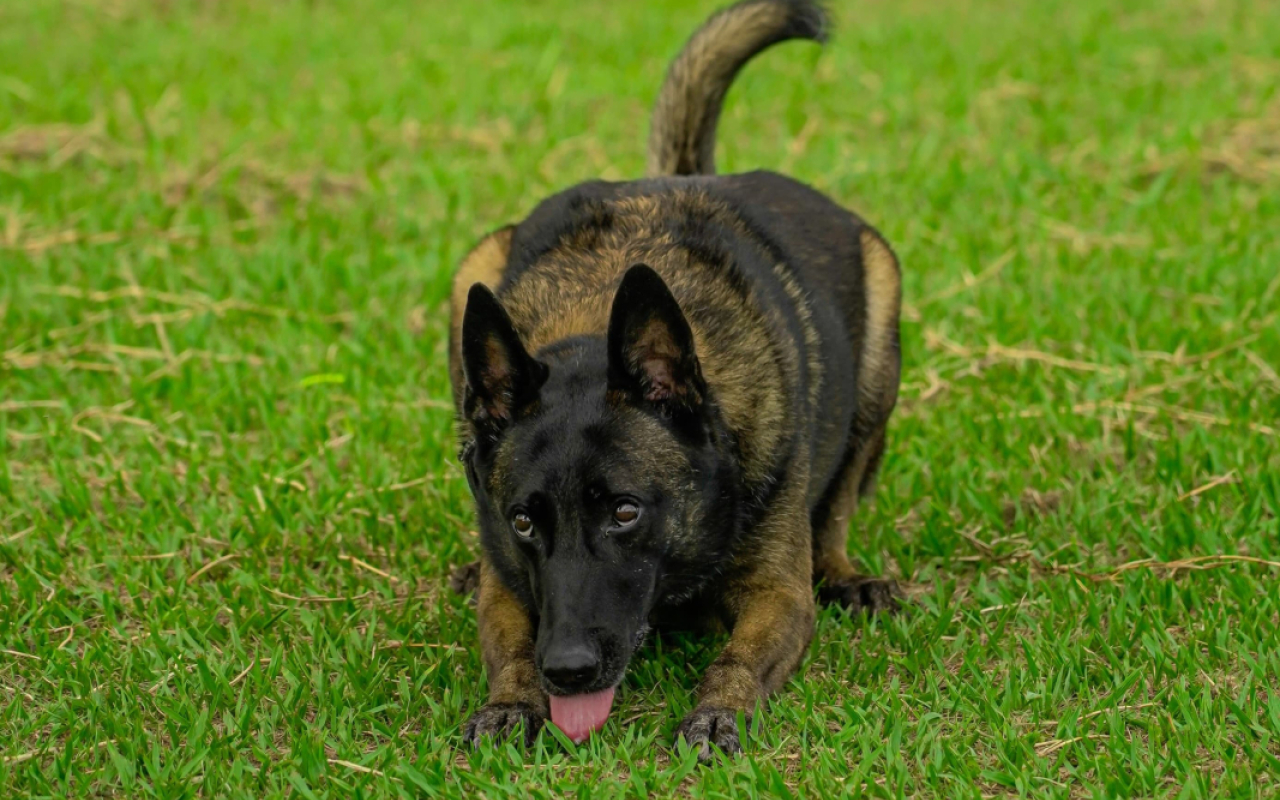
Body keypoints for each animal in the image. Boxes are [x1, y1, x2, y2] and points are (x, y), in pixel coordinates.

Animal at [448, 0, 901, 762]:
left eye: (626, 512)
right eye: (523, 522)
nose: (567, 671)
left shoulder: (780, 595)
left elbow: (739, 658)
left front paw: (719, 711)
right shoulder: (511, 591)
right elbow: (509, 643)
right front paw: (511, 701)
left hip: (882, 321)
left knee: (838, 505)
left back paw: (846, 575)